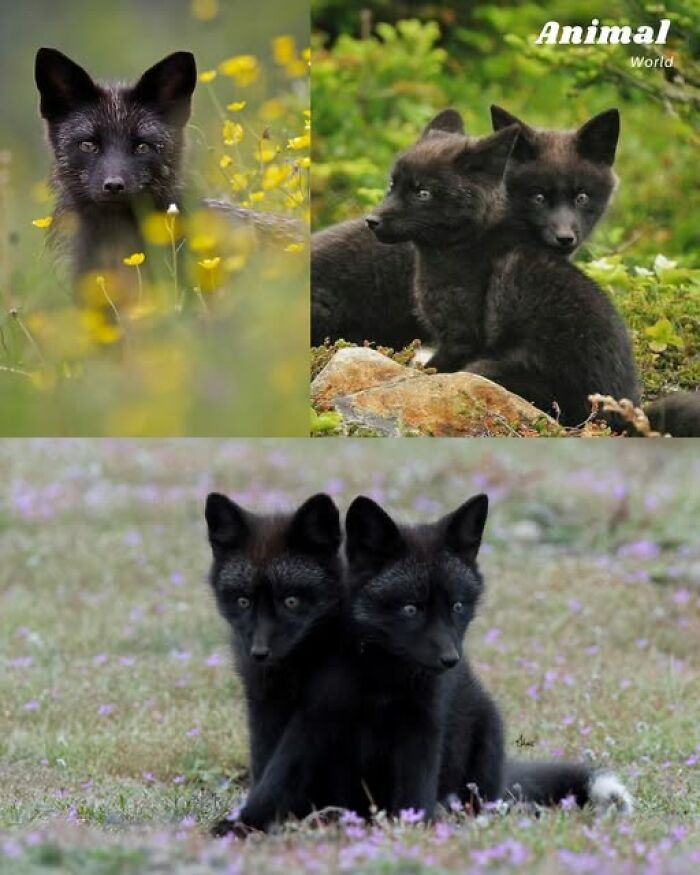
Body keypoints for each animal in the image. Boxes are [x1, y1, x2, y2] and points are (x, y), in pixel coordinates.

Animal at [204, 491, 360, 836]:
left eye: (291, 601)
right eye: (243, 601)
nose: (259, 654)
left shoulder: (316, 715)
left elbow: (280, 774)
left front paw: (247, 824)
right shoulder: (263, 706)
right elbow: (263, 763)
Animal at [345, 493, 634, 817]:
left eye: (458, 606)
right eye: (410, 609)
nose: (451, 660)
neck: (383, 679)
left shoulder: (424, 725)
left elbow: (415, 794)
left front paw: (411, 824)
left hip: (488, 734)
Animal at [365, 114, 640, 426]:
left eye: (422, 193)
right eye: (392, 185)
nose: (371, 221)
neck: (463, 246)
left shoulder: (461, 339)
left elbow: (429, 372)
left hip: (487, 367)